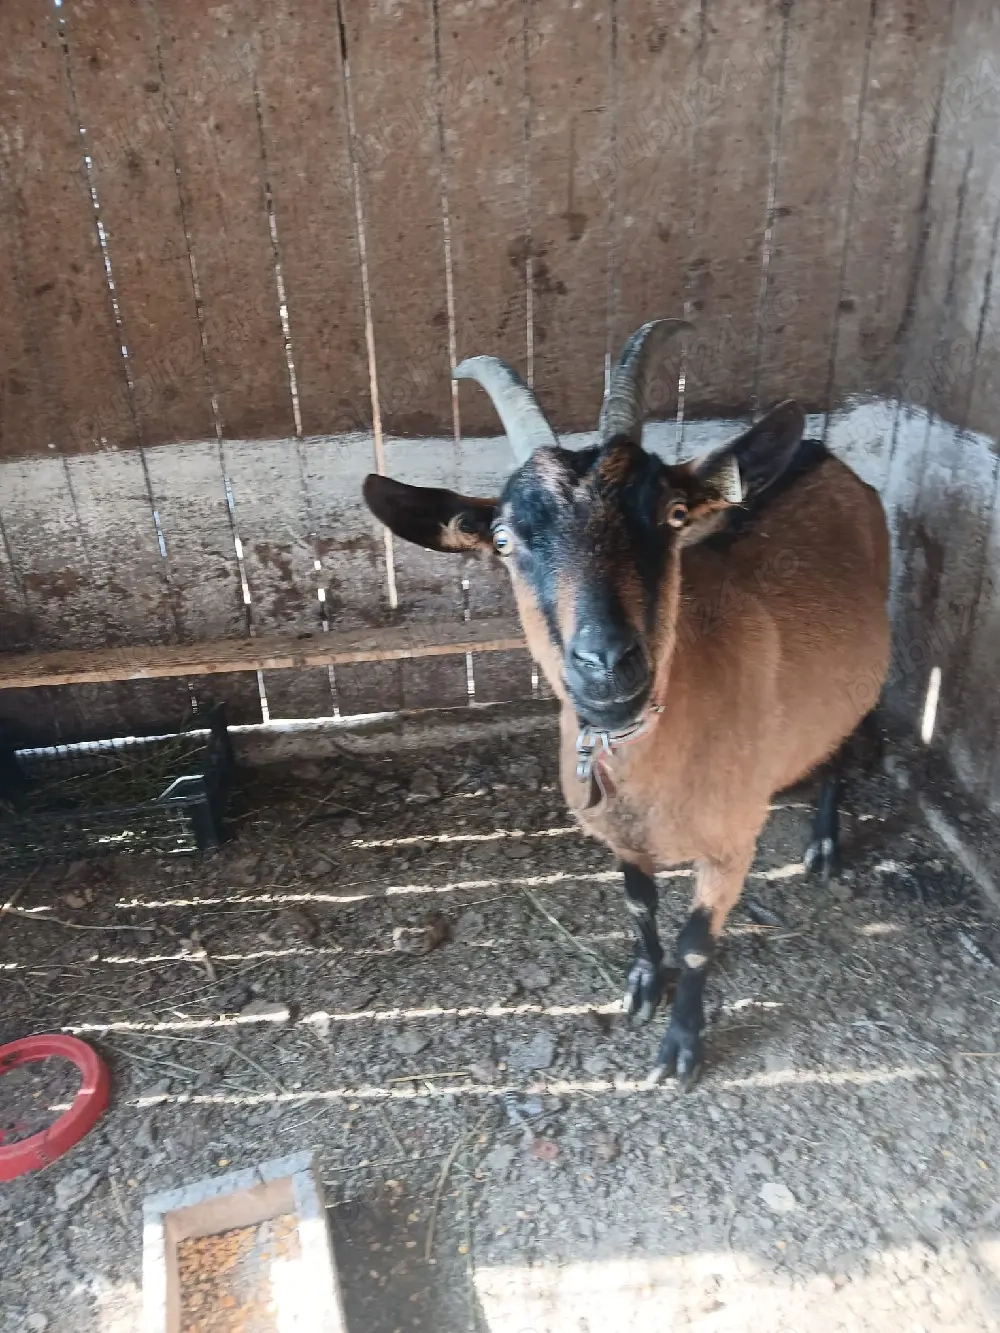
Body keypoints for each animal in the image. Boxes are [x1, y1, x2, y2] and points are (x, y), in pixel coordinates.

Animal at [363, 319, 891, 1087]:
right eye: (503, 539)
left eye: (673, 514)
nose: (607, 663)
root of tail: (817, 449)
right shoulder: (619, 835)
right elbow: (639, 907)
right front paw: (643, 984)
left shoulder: (732, 844)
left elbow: (698, 940)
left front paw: (680, 1049)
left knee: (854, 733)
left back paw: (825, 842)